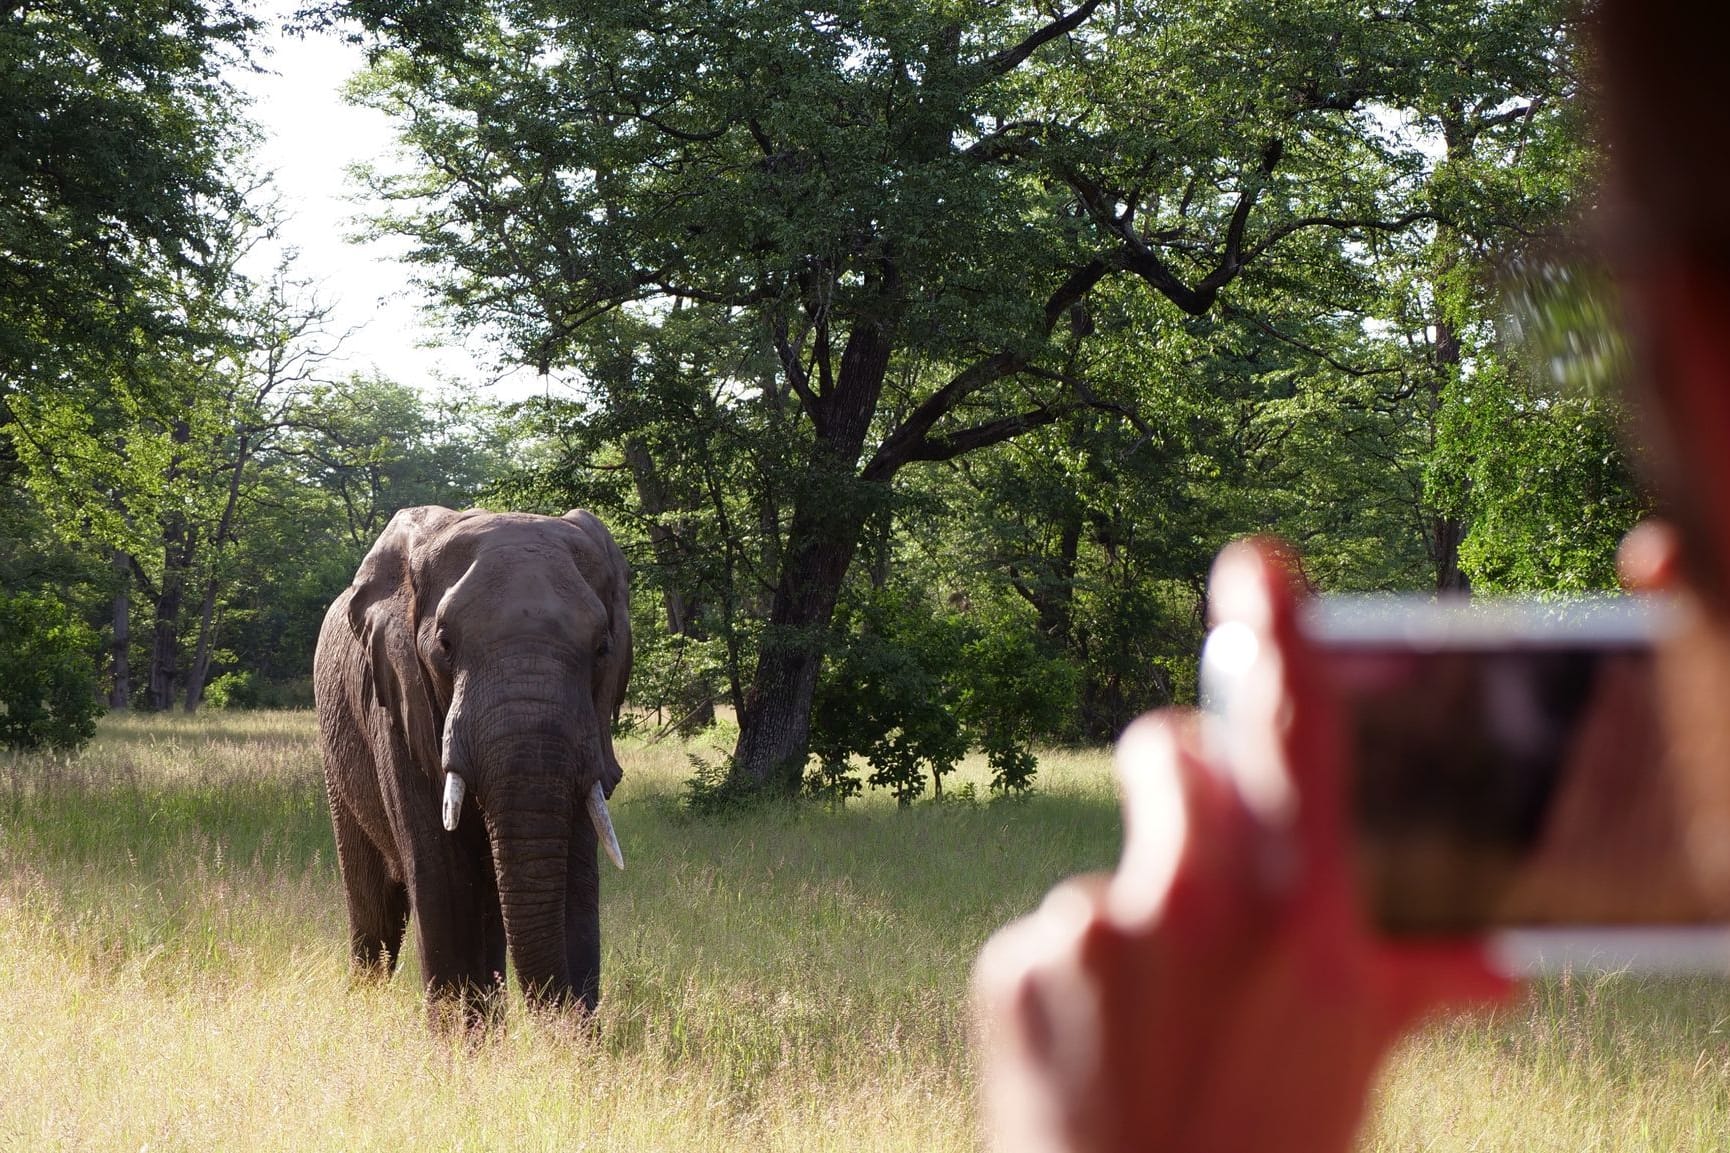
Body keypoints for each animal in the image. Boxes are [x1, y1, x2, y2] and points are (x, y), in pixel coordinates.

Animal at [314, 505, 633, 1024]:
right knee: (374, 908)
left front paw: (575, 1041)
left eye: (603, 648)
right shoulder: (401, 707)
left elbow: (575, 878)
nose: (558, 1022)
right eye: (444, 645)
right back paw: (363, 1002)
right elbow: (442, 877)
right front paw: (458, 1044)